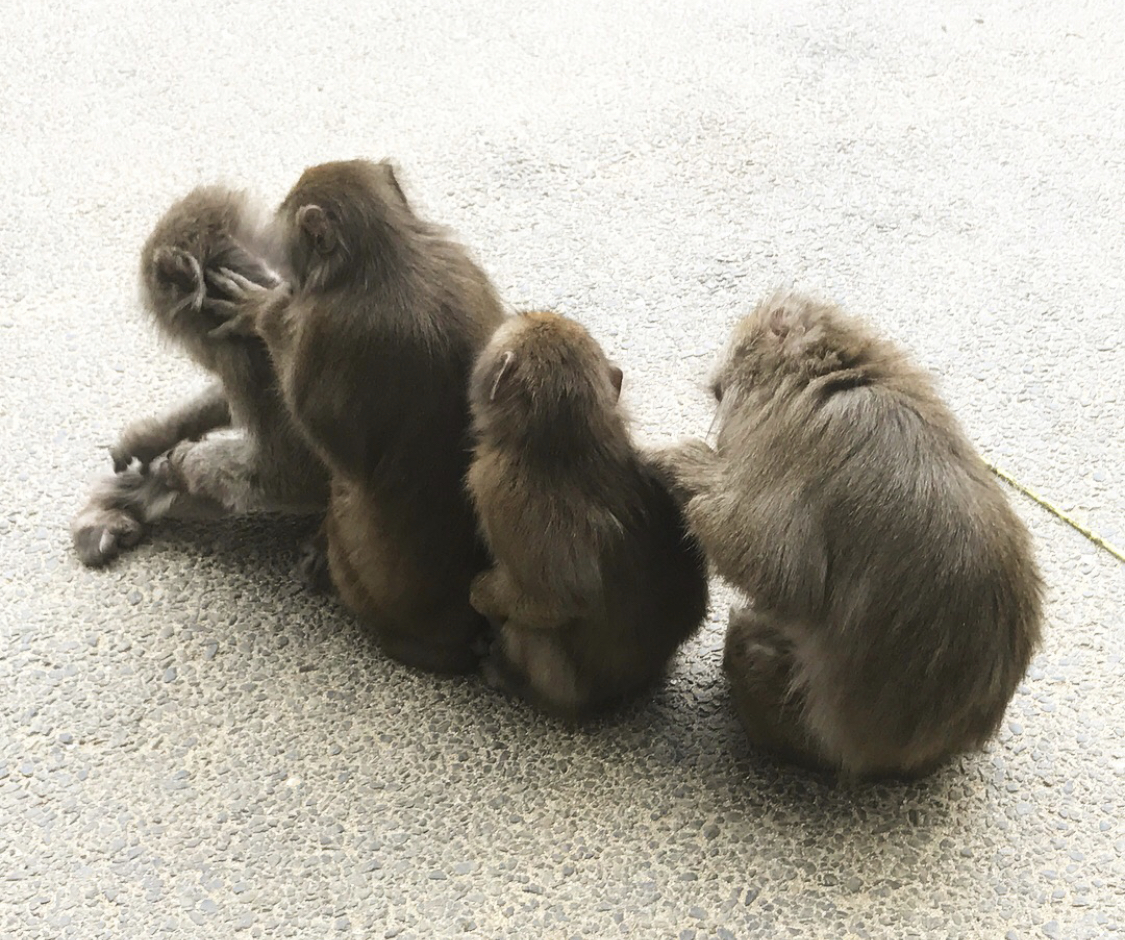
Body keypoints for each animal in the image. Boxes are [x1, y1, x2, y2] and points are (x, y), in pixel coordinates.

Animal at [209, 157, 508, 670]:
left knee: (345, 492)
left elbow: (332, 444)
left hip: (361, 564)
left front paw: (262, 310)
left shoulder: (323, 331)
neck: (385, 255)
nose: (288, 274)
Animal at [461, 312, 706, 715]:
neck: (564, 441)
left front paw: (481, 595)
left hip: (562, 683)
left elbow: (562, 599)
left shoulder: (493, 485)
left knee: (530, 631)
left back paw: (511, 676)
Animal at [652, 292, 1044, 778]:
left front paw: (682, 461)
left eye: (722, 391)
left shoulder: (803, 441)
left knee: (751, 641)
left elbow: (777, 570)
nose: (721, 398)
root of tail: (945, 747)